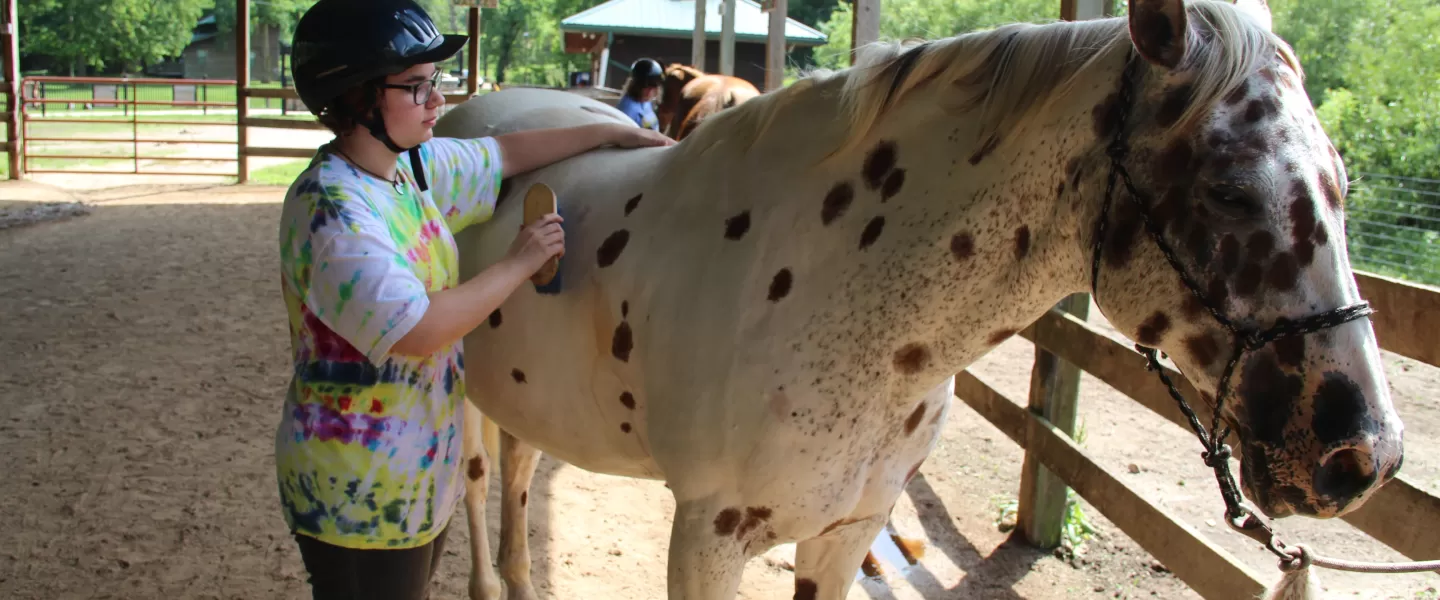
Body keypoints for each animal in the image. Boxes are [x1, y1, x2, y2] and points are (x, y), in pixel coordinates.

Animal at [436, 0, 1405, 598]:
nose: (1365, 457)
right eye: (1232, 188)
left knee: (518, 474)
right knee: (479, 485)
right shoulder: (706, 539)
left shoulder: (844, 531)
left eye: (1344, 184)